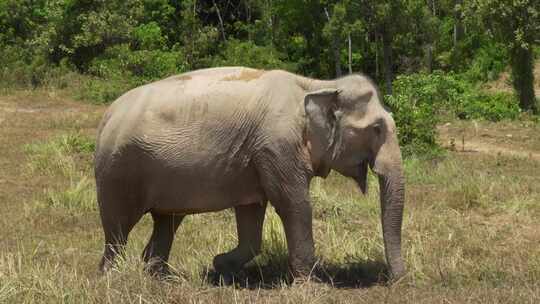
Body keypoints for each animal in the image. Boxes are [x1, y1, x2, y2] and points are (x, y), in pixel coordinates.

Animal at [94, 67, 404, 282]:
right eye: (377, 128)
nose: (397, 279)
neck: (318, 84)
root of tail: (107, 115)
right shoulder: (276, 147)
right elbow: (294, 205)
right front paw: (311, 284)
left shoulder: (256, 157)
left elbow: (251, 213)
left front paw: (221, 267)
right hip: (118, 169)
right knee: (118, 227)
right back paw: (112, 278)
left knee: (166, 221)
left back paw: (162, 278)